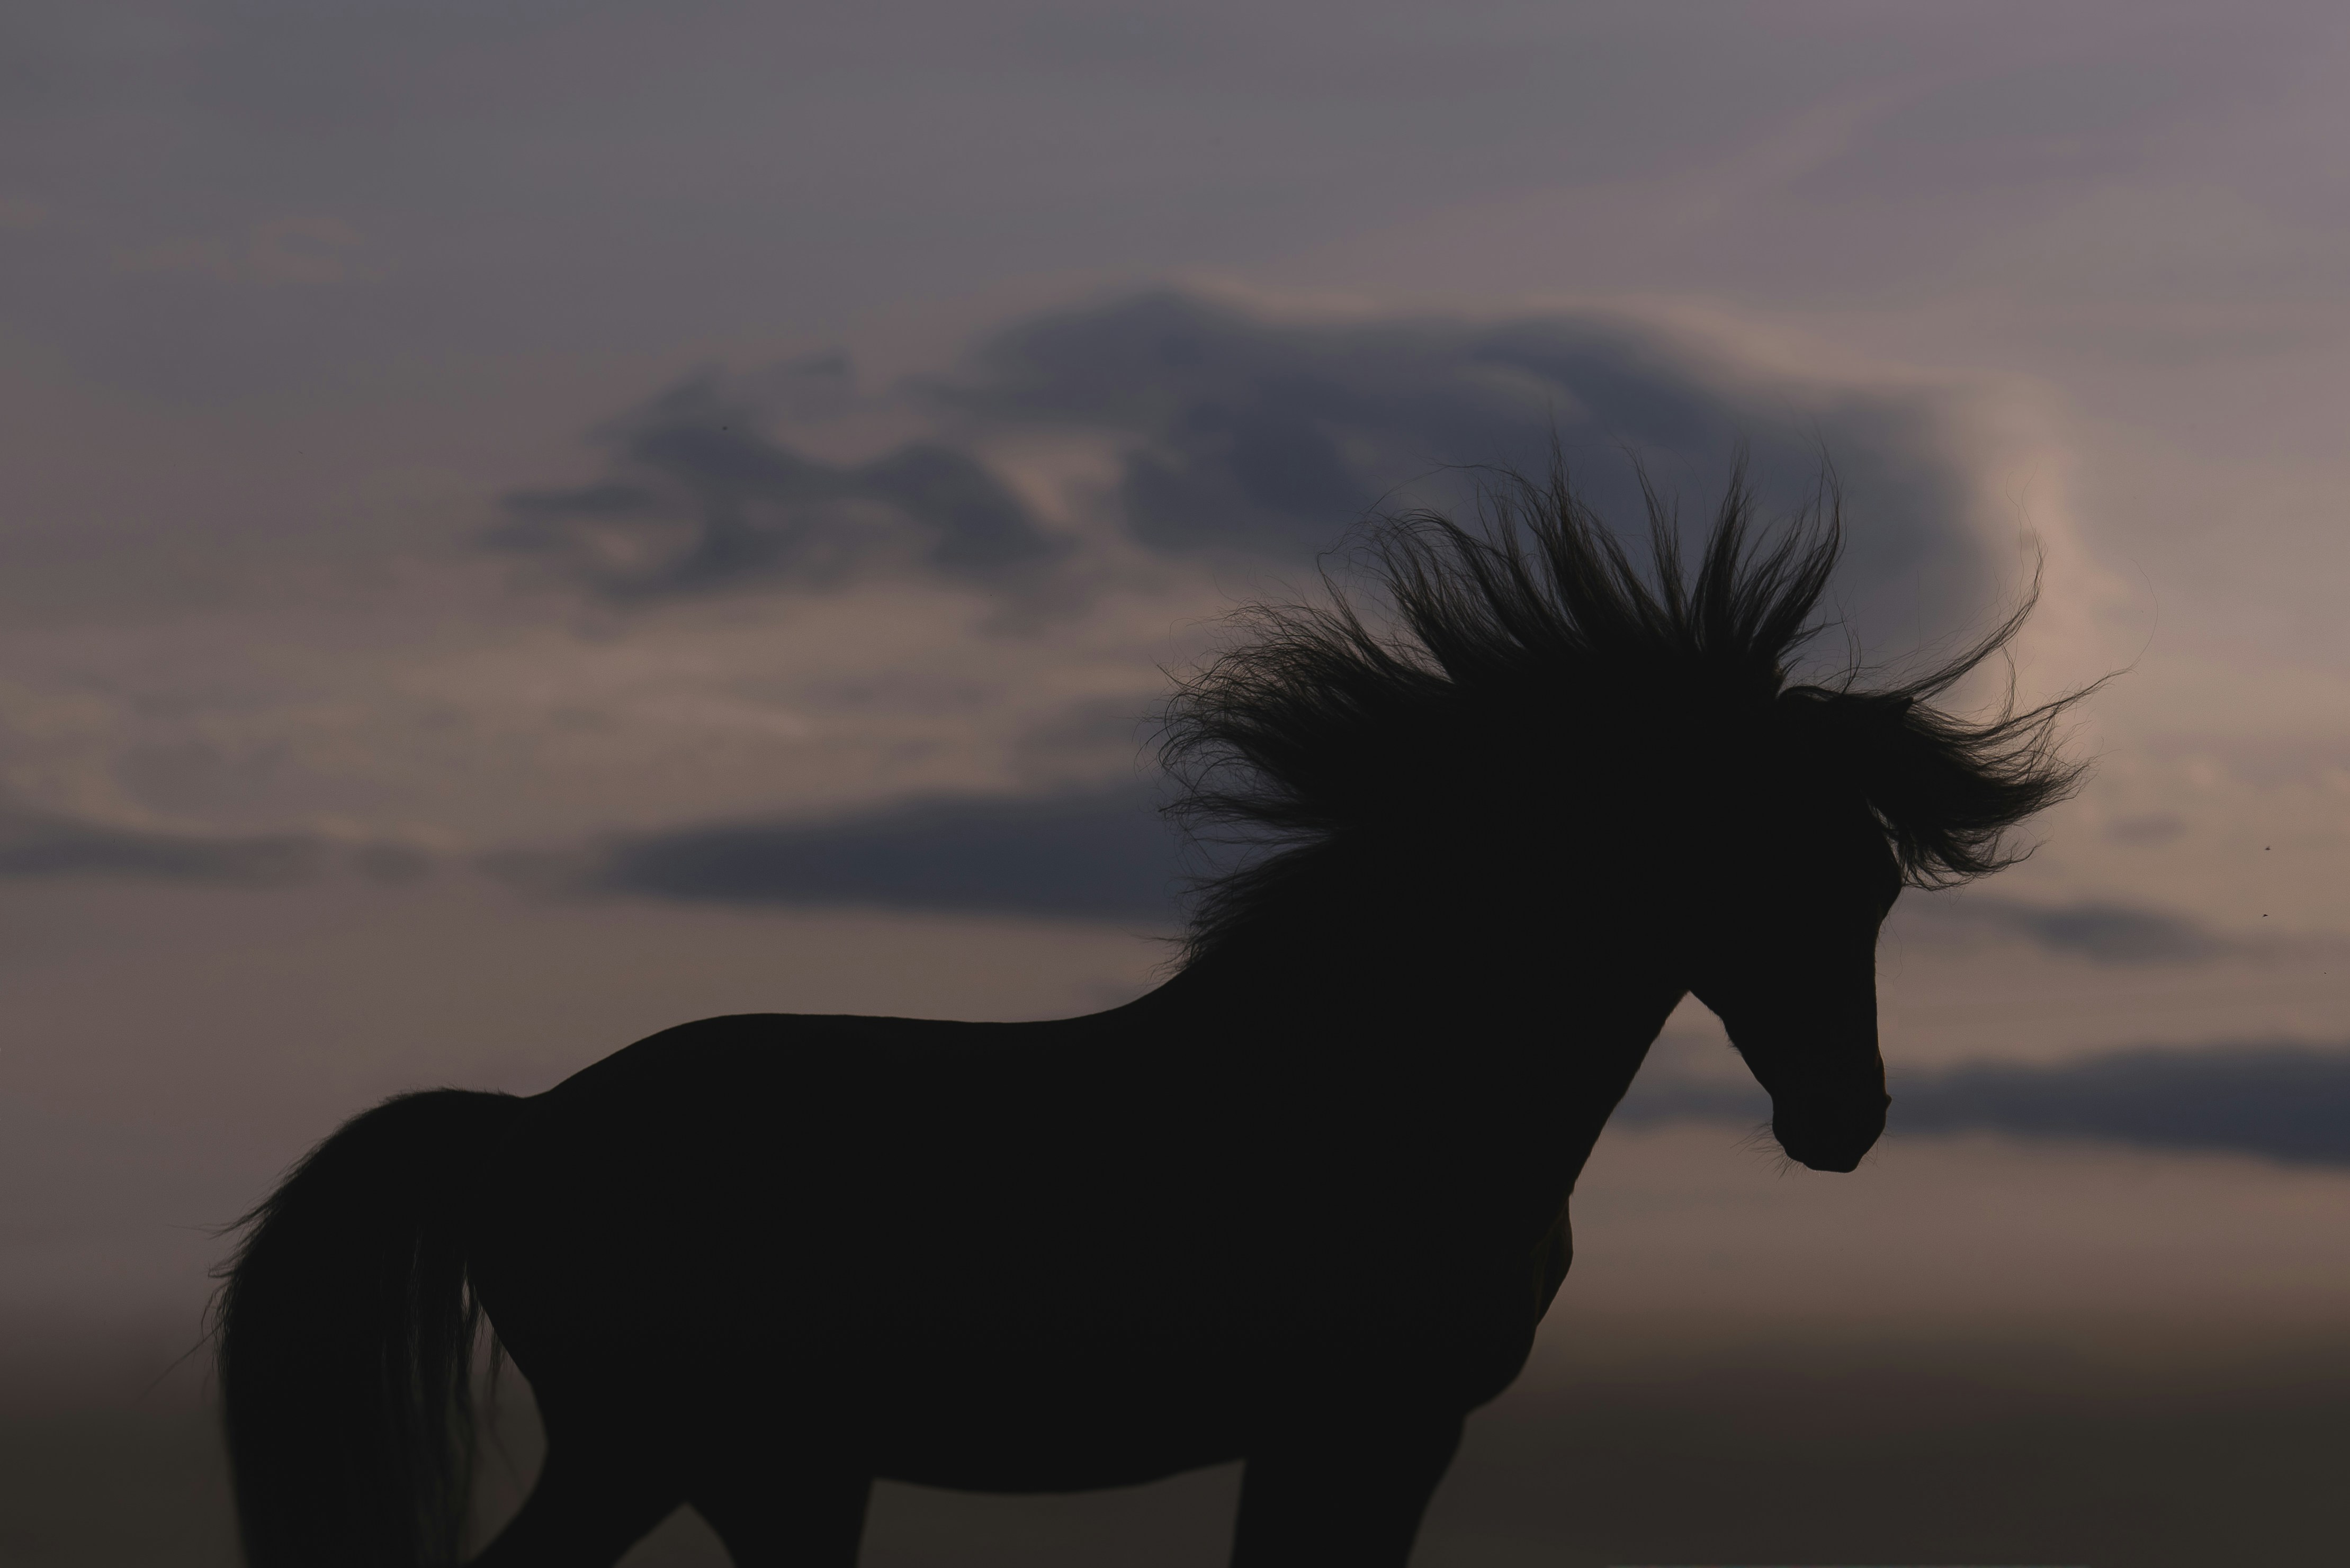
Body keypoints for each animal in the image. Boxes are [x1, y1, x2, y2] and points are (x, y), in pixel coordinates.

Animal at [213, 460, 2090, 1567]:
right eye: (1752, 871)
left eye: (1869, 884)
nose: (1840, 1123)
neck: (1381, 1083)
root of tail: (517, 1125)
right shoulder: (1363, 1427)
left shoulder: (1360, 1442)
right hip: (703, 1450)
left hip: (748, 1463)